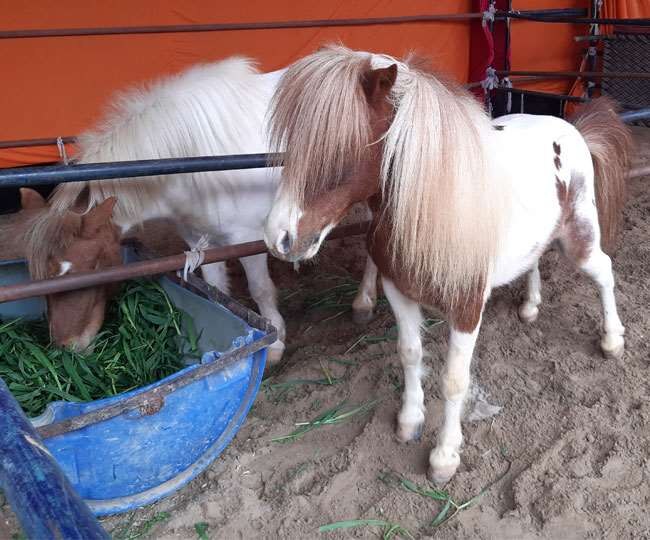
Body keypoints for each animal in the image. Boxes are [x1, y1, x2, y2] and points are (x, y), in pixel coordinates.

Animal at [262, 47, 628, 486]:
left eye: (340, 146)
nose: (278, 237)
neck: (433, 203)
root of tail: (571, 129)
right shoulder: (397, 289)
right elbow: (410, 353)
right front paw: (409, 421)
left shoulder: (467, 307)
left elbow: (454, 381)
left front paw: (444, 457)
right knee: (535, 261)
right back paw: (530, 307)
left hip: (580, 241)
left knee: (604, 272)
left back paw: (612, 340)